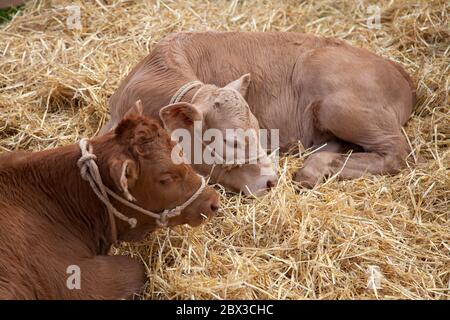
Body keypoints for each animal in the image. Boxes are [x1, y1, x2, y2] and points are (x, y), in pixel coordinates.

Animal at [103, 31, 416, 189]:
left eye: (258, 131)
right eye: (230, 141)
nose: (270, 181)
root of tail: (395, 67)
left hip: (339, 106)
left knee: (396, 153)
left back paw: (309, 172)